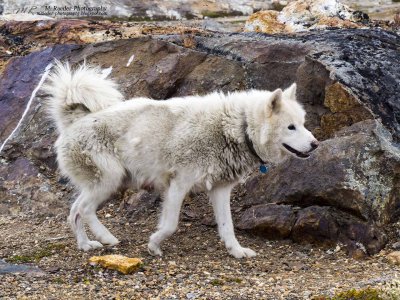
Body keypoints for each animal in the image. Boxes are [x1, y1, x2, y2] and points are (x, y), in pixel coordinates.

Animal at [43, 61, 318, 258]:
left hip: (101, 184)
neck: (238, 128)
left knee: (74, 212)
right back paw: (107, 238)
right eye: (291, 127)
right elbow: (171, 224)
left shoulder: (220, 189)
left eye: (303, 124)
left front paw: (237, 251)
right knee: (85, 210)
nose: (315, 145)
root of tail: (74, 121)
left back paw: (86, 245)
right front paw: (154, 245)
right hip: (109, 181)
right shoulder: (178, 184)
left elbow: (227, 226)